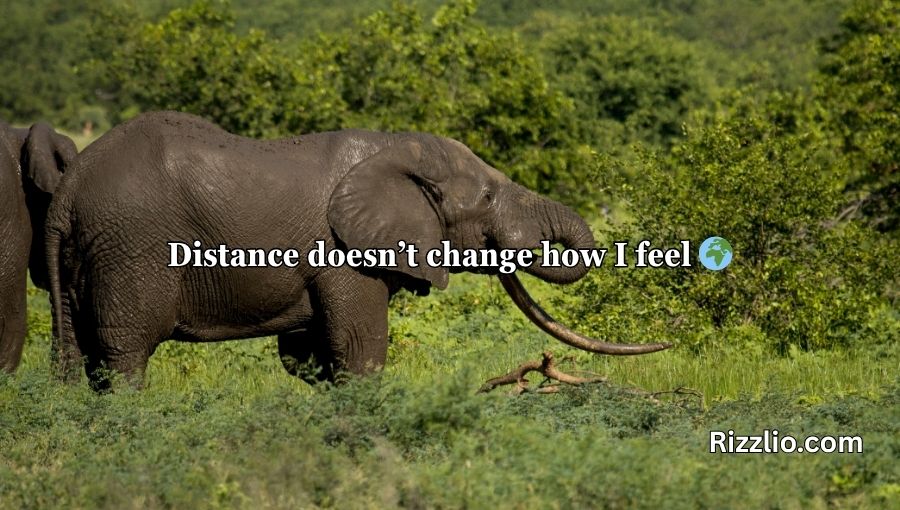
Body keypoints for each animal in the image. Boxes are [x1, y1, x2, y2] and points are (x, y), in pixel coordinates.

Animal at [45, 111, 669, 389]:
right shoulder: (345, 256)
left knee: (74, 353)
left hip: (87, 255)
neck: (397, 148)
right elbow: (359, 344)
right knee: (124, 352)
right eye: (489, 196)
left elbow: (310, 355)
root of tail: (69, 187)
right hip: (131, 247)